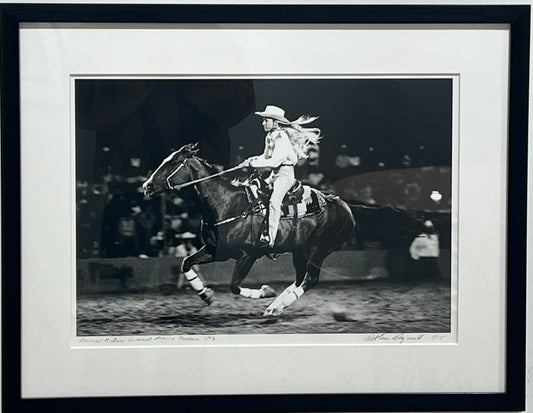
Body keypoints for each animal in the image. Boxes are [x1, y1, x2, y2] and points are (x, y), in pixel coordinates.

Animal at [143, 142, 356, 316]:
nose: (146, 186)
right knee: (300, 279)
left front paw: (266, 291)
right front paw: (205, 294)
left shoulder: (248, 254)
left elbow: (234, 286)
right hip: (299, 250)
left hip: (318, 249)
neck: (227, 205)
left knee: (310, 279)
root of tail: (343, 204)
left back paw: (277, 307)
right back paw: (275, 307)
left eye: (173, 162)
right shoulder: (216, 251)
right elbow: (186, 263)